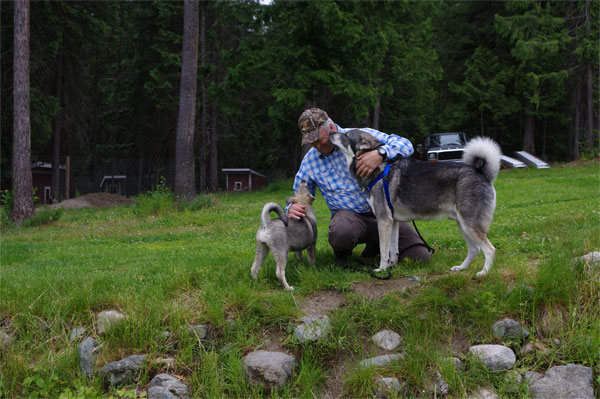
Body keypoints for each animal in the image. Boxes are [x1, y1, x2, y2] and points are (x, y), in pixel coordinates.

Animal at [328, 131, 502, 278]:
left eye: (345, 135)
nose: (330, 132)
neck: (378, 169)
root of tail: (482, 174)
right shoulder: (393, 222)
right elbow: (393, 250)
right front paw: (392, 267)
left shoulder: (384, 221)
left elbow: (384, 251)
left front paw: (382, 269)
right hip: (463, 225)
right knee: (474, 249)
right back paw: (461, 268)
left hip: (470, 225)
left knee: (489, 249)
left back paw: (484, 273)